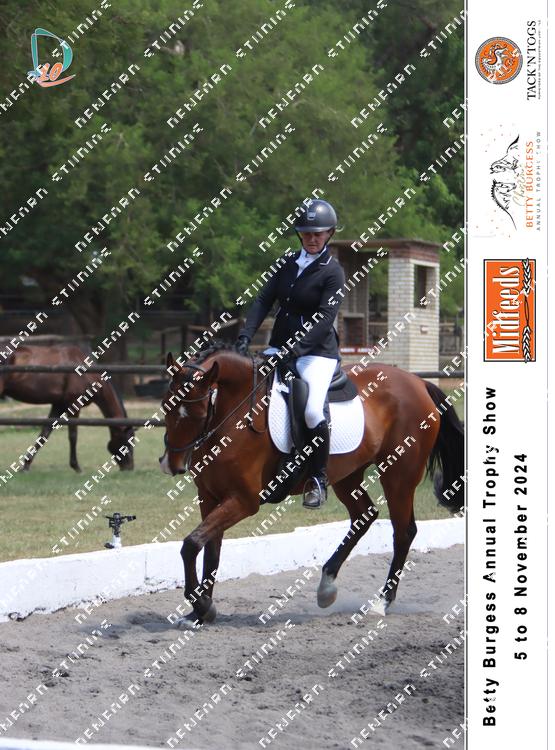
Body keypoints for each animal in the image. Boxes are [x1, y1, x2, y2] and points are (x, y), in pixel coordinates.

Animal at [0, 345, 134, 472]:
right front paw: (76, 467)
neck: (85, 373)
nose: (129, 468)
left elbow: (44, 434)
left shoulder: (58, 405)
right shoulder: (74, 405)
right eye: (127, 444)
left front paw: (26, 466)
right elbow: (73, 436)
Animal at [159, 341, 464, 628]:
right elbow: (209, 550)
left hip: (398, 475)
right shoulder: (209, 496)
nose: (172, 464)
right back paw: (327, 587)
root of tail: (418, 382)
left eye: (199, 413)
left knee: (403, 532)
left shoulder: (244, 501)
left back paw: (381, 602)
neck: (234, 413)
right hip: (347, 475)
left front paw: (202, 606)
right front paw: (199, 613)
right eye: (166, 406)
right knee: (364, 516)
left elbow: (191, 544)